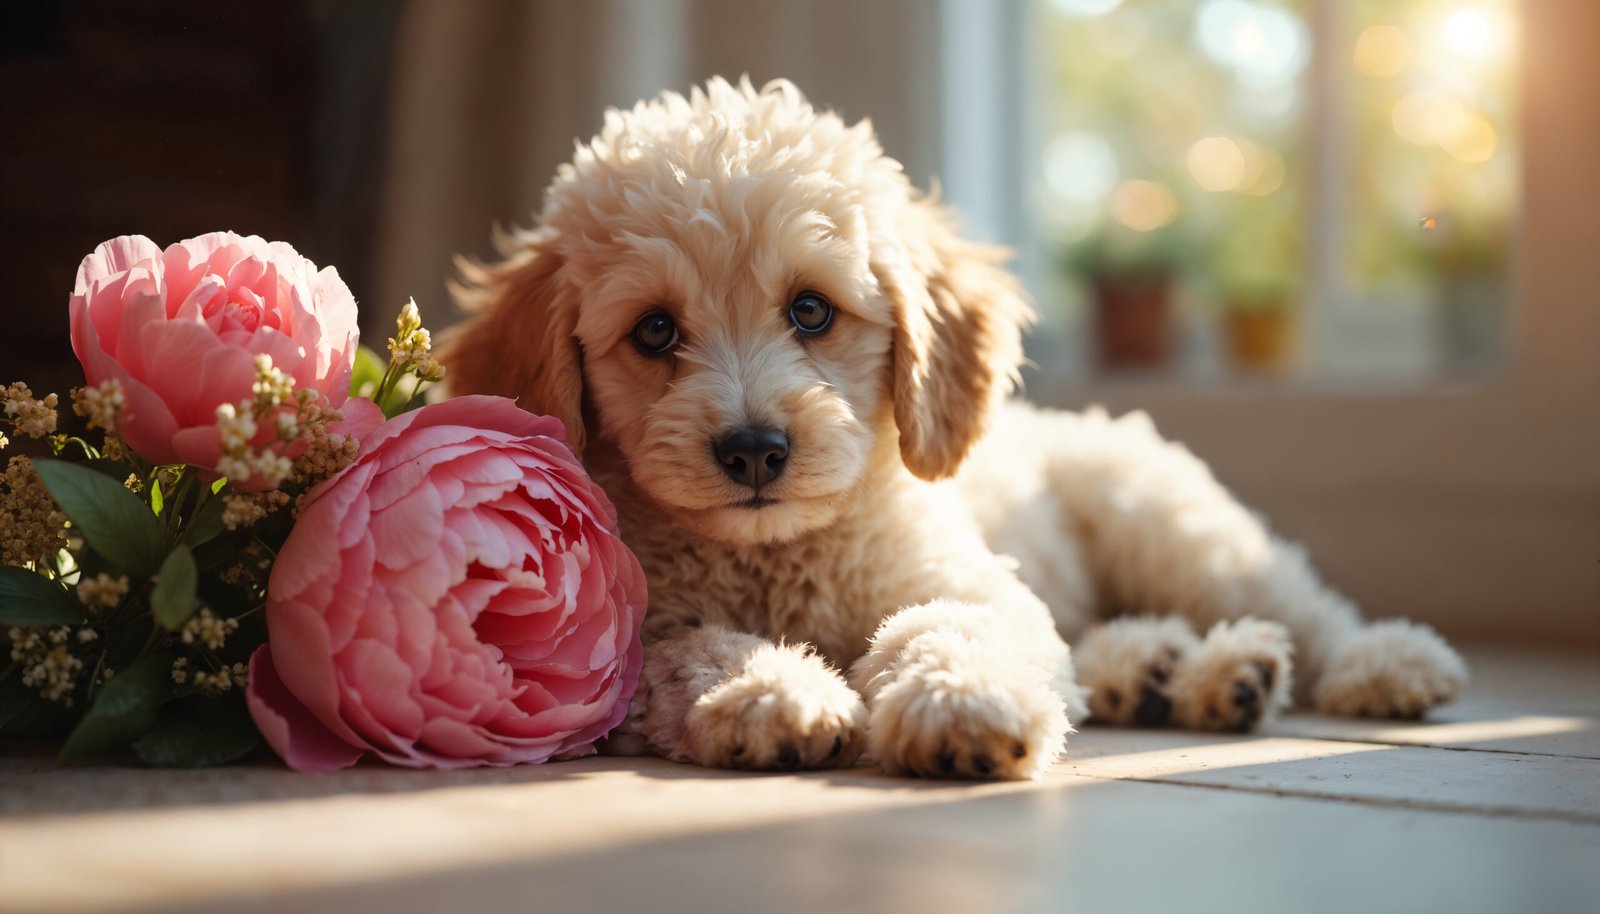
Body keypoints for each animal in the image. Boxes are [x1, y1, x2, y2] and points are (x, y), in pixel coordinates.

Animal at [444, 78, 1465, 781]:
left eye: (811, 311)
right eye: (655, 331)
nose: (754, 450)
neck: (778, 558)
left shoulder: (966, 580)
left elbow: (950, 623)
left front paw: (958, 703)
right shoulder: (622, 644)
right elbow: (687, 653)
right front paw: (773, 692)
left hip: (1173, 527)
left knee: (1300, 604)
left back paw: (1378, 663)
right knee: (1099, 643)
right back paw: (1172, 671)